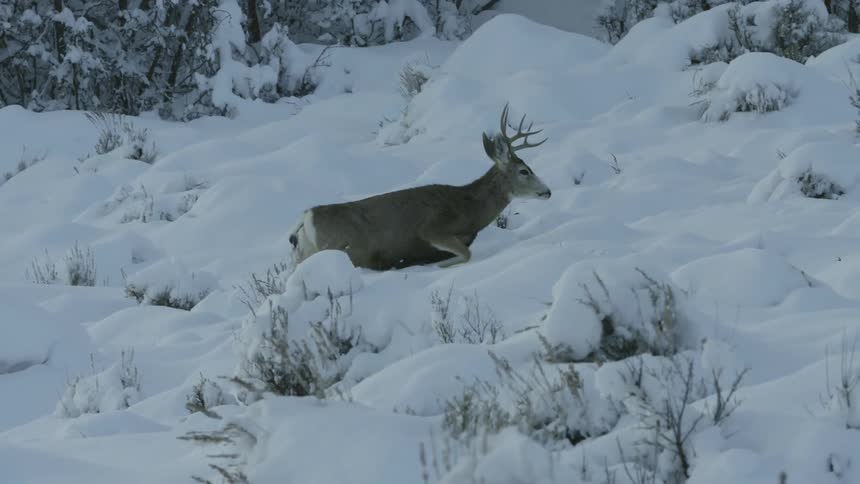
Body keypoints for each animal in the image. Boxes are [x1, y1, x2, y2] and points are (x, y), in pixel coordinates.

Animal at [288, 103, 551, 270]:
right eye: (524, 171)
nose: (548, 191)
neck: (469, 210)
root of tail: (307, 217)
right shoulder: (431, 228)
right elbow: (466, 254)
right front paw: (438, 265)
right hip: (339, 248)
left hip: (304, 253)